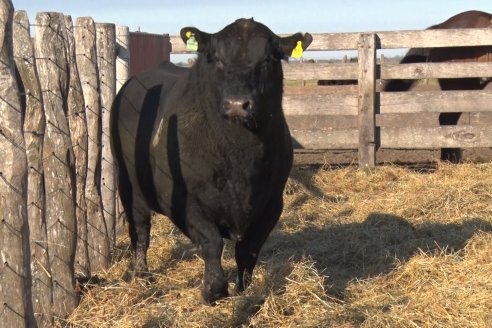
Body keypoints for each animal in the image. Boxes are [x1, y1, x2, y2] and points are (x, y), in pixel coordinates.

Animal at [110, 19, 312, 304]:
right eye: (216, 58)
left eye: (267, 59)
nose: (237, 104)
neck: (241, 157)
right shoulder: (180, 199)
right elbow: (212, 242)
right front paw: (214, 289)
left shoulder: (272, 203)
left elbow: (248, 251)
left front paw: (244, 290)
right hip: (129, 186)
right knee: (140, 230)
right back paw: (140, 272)